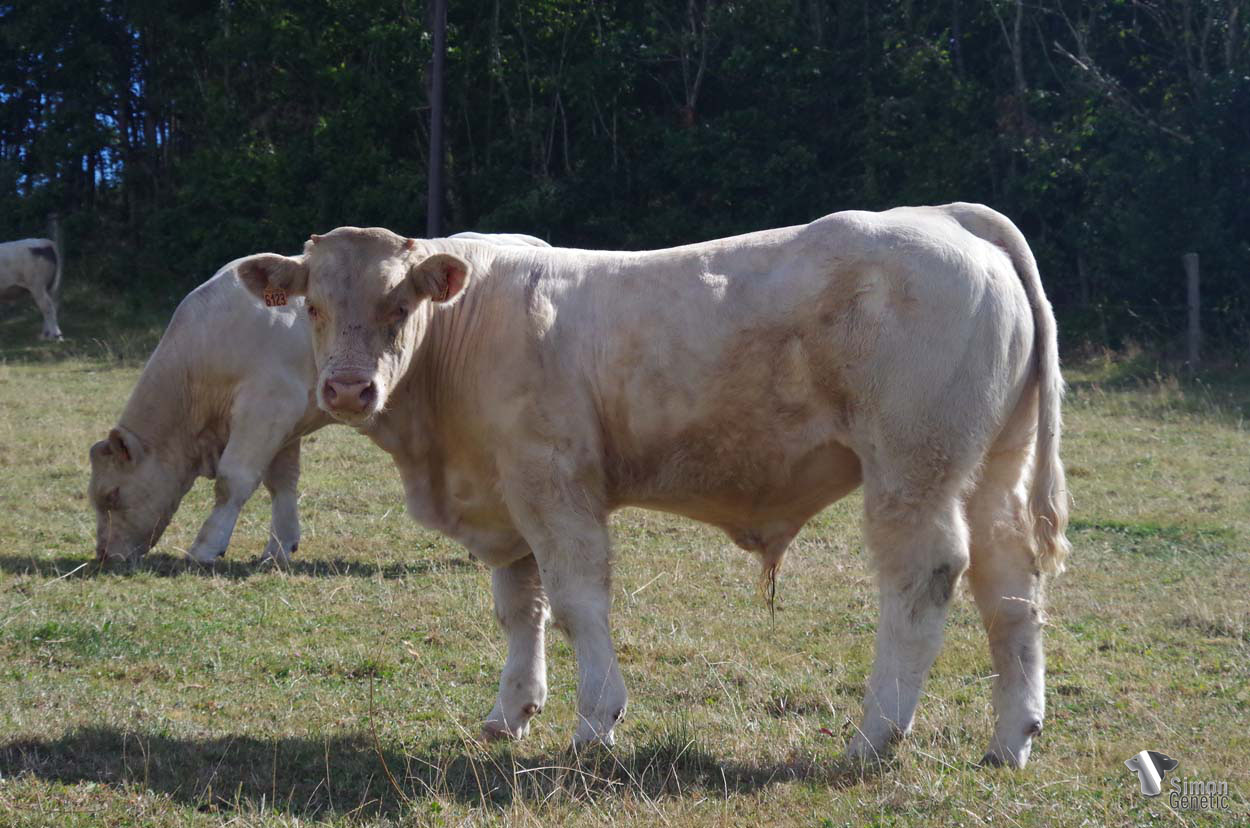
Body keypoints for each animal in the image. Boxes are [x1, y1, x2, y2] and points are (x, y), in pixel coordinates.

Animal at [89, 232, 549, 567]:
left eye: (111, 496)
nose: (106, 557)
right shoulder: (286, 419)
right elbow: (282, 483)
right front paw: (278, 549)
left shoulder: (265, 406)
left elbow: (233, 479)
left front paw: (206, 549)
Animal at [233, 203, 1070, 768]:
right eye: (313, 306)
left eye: (398, 304)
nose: (347, 389)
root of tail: (941, 217)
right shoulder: (505, 495)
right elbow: (519, 609)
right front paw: (511, 712)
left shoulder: (553, 482)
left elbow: (575, 604)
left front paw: (594, 723)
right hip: (994, 465)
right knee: (1011, 587)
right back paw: (1011, 738)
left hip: (912, 467)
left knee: (923, 578)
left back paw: (875, 734)